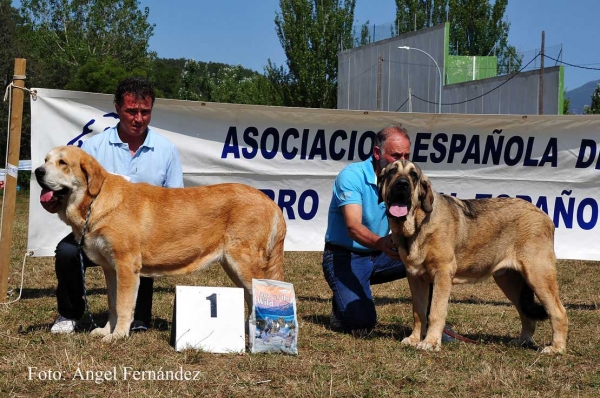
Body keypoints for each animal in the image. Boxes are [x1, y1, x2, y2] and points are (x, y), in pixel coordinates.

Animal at [35, 146, 288, 342]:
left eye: (63, 163)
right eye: (46, 160)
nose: (38, 171)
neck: (93, 201)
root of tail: (271, 202)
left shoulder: (126, 266)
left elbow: (124, 305)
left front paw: (118, 335)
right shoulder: (111, 269)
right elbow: (113, 304)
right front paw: (107, 330)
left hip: (243, 264)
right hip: (233, 267)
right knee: (252, 298)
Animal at [378, 159, 568, 354]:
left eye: (413, 175)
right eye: (392, 171)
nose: (402, 184)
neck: (416, 225)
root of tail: (545, 216)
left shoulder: (442, 274)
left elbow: (435, 312)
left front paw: (430, 342)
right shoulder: (415, 277)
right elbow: (419, 312)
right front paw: (414, 339)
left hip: (538, 275)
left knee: (558, 312)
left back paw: (556, 348)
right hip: (510, 281)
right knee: (525, 313)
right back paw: (523, 341)